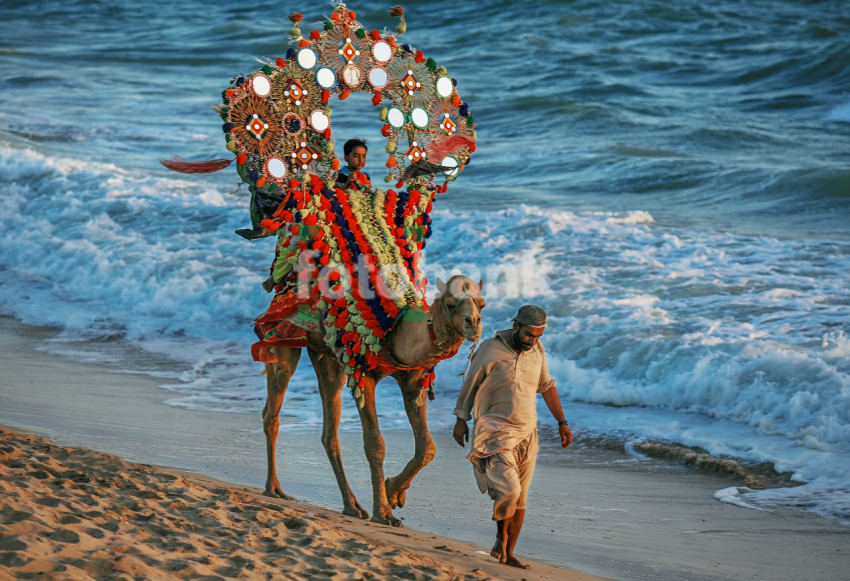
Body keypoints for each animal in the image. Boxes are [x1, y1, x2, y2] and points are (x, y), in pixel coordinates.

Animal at [258, 274, 484, 524]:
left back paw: (352, 506)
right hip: (283, 336)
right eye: (450, 303)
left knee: (329, 427)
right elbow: (375, 444)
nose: (474, 323)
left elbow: (427, 447)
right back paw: (274, 488)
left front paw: (393, 492)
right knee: (274, 405)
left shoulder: (413, 380)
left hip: (327, 356)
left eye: (482, 304)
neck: (396, 331)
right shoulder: (364, 375)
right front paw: (384, 512)